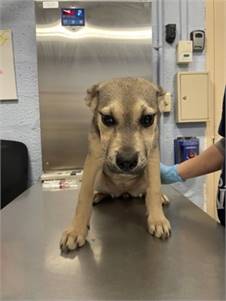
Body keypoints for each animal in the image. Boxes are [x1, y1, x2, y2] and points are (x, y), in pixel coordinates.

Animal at [60, 77, 171, 251]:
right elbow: (83, 196)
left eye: (147, 119)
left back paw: (159, 197)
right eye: (107, 119)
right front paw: (76, 230)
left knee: (147, 191)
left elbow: (154, 189)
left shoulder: (153, 156)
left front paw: (158, 220)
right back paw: (98, 194)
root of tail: (124, 192)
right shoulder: (93, 158)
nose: (126, 161)